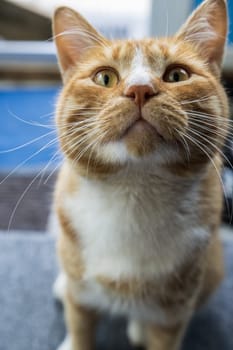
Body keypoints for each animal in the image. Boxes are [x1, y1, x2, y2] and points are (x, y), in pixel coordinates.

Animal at [52, 0, 228, 350]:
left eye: (177, 75)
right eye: (105, 78)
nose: (140, 89)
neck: (134, 194)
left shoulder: (174, 312)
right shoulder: (81, 297)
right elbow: (80, 329)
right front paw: (74, 339)